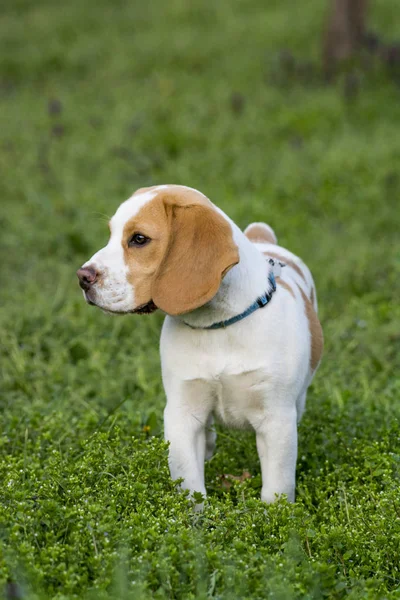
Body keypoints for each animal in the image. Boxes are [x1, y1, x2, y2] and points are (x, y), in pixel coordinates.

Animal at [77, 185, 322, 504]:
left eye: (139, 239)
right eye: (110, 234)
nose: (82, 277)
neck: (218, 326)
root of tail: (264, 240)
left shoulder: (276, 420)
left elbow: (276, 489)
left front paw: (274, 516)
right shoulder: (182, 413)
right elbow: (190, 486)